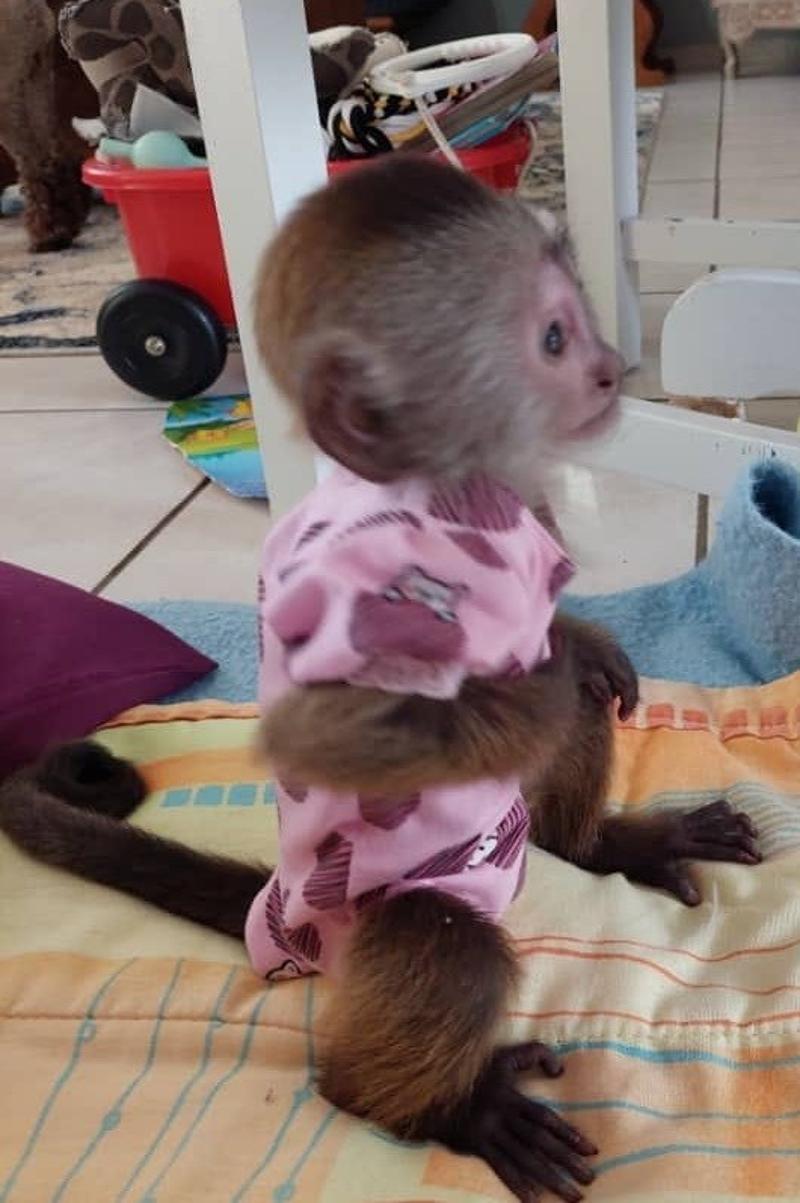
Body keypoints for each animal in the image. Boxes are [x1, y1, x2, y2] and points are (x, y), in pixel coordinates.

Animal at [0, 157, 761, 1203]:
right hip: (345, 925)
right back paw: (445, 1106)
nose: (612, 369)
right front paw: (529, 664)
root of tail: (274, 922)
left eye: (578, 321)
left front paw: (574, 636)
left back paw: (599, 840)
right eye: (553, 339)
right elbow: (333, 733)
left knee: (558, 766)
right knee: (437, 937)